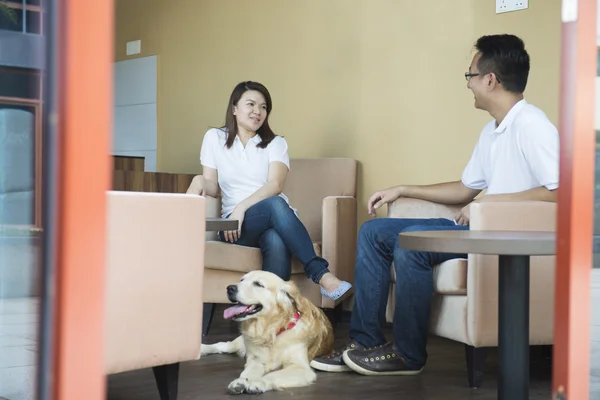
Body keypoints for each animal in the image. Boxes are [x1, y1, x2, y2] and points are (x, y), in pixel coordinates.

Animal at [200, 270, 332, 396]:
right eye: (242, 280)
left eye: (258, 284)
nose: (229, 288)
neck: (272, 330)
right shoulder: (257, 360)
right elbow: (248, 372)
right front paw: (241, 381)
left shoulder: (301, 367)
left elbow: (273, 375)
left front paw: (258, 382)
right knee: (224, 345)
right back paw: (202, 349)